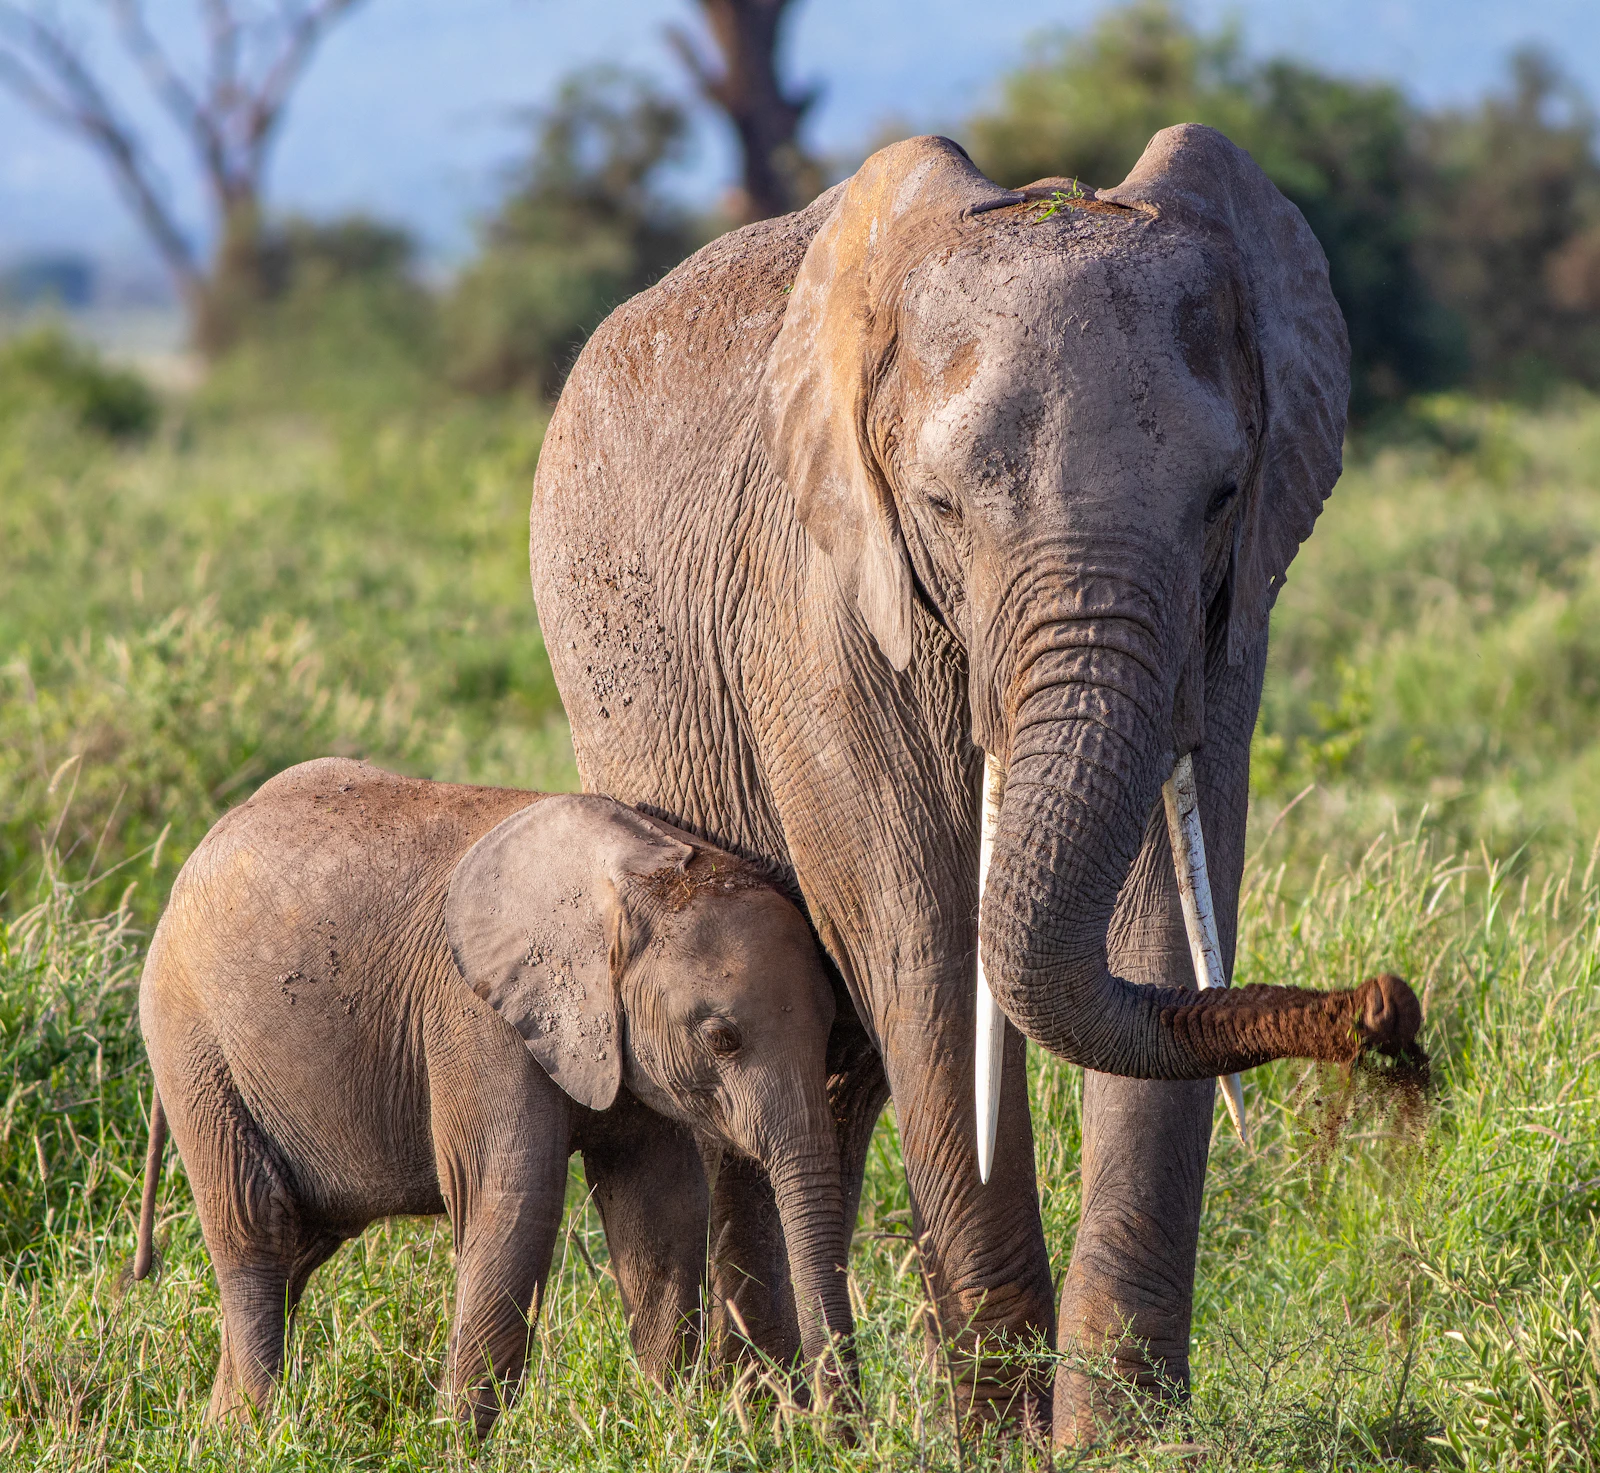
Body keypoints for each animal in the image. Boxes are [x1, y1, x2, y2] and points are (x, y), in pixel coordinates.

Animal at [134, 757, 854, 1438]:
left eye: (833, 1026)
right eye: (722, 1038)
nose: (838, 1433)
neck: (639, 871)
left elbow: (663, 1207)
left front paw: (672, 1426)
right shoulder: (475, 1016)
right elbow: (511, 1198)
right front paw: (455, 1446)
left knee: (299, 1248)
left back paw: (220, 1432)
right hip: (193, 1045)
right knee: (257, 1229)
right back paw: (260, 1433)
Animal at [527, 125, 1423, 1442]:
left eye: (1220, 497)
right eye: (942, 507)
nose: (1384, 1010)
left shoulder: (1226, 622)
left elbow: (1158, 936)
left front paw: (1123, 1441)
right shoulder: (824, 606)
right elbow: (930, 950)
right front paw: (1001, 1438)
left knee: (834, 1082)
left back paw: (812, 1418)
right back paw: (760, 1422)